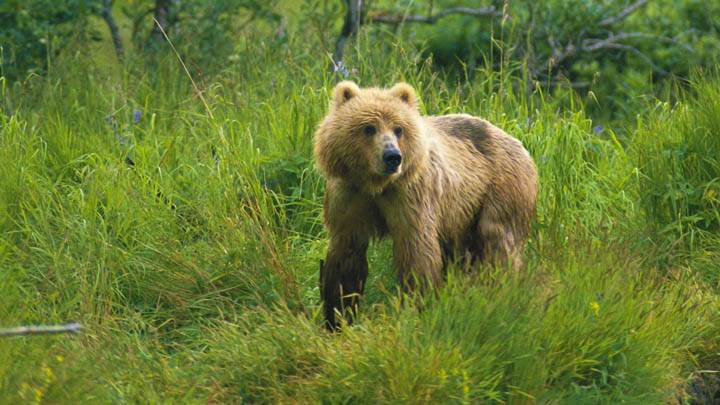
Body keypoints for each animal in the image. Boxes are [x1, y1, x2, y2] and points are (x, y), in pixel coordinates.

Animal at [314, 81, 538, 329]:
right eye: (369, 128)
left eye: (398, 128)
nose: (392, 156)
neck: (376, 185)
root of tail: (519, 143)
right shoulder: (350, 196)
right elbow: (347, 254)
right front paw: (338, 315)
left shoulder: (410, 195)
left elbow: (417, 250)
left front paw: (417, 305)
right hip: (462, 215)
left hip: (500, 189)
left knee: (499, 242)